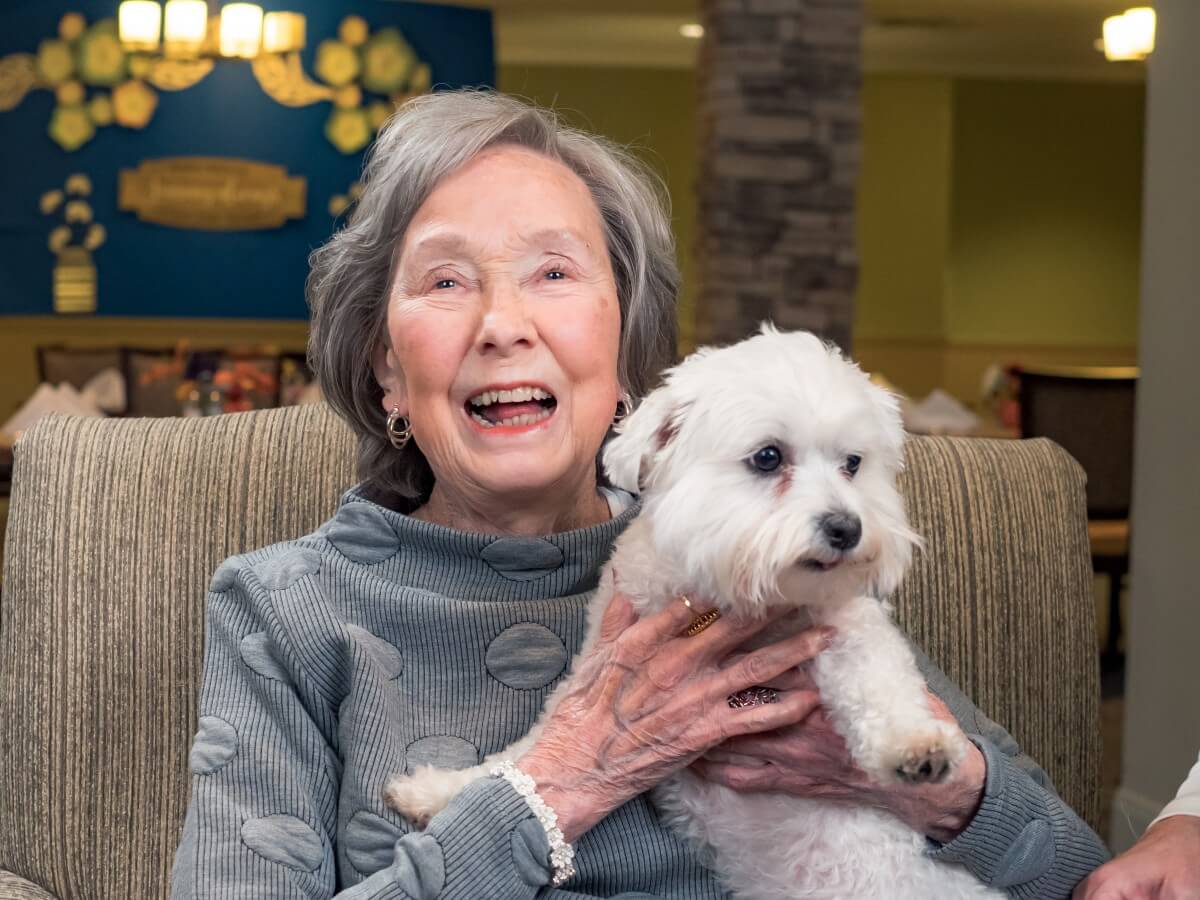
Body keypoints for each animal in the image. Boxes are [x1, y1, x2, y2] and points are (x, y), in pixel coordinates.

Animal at [386, 328, 1003, 897]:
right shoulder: (599, 672)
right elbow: (528, 750)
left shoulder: (848, 628)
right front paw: (438, 789)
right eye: (768, 456)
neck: (732, 594)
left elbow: (880, 679)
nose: (847, 528)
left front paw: (916, 746)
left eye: (853, 464)